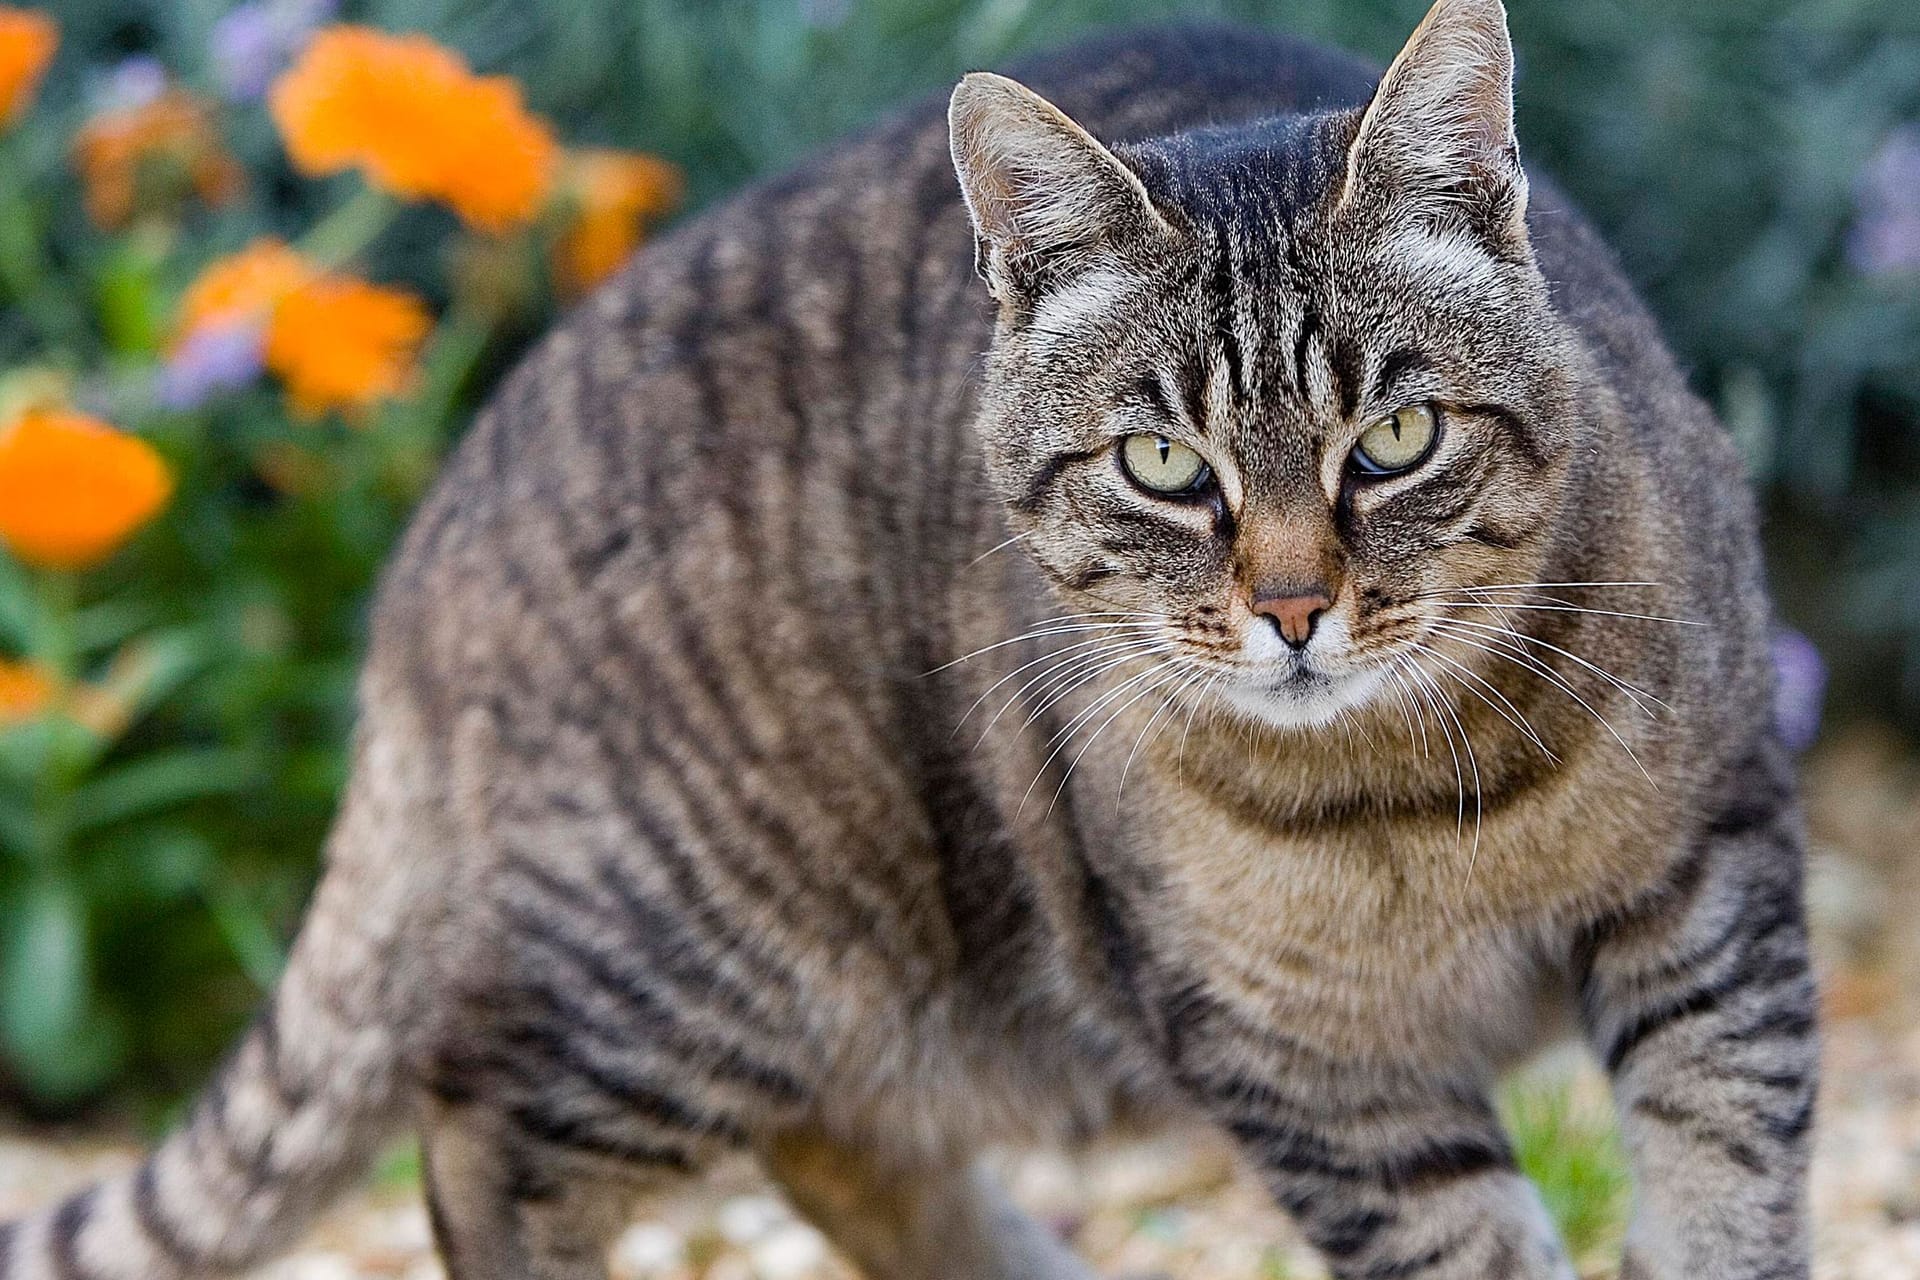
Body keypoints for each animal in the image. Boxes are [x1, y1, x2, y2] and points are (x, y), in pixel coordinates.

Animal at [0, 2, 1812, 1280]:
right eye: (1165, 465)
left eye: (1398, 439)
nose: (1295, 609)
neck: (1413, 803)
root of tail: (431, 530)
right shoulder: (1309, 1066)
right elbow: (1466, 1245)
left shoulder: (1714, 884)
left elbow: (1730, 1175)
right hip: (688, 951)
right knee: (486, 1128)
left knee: (841, 1154)